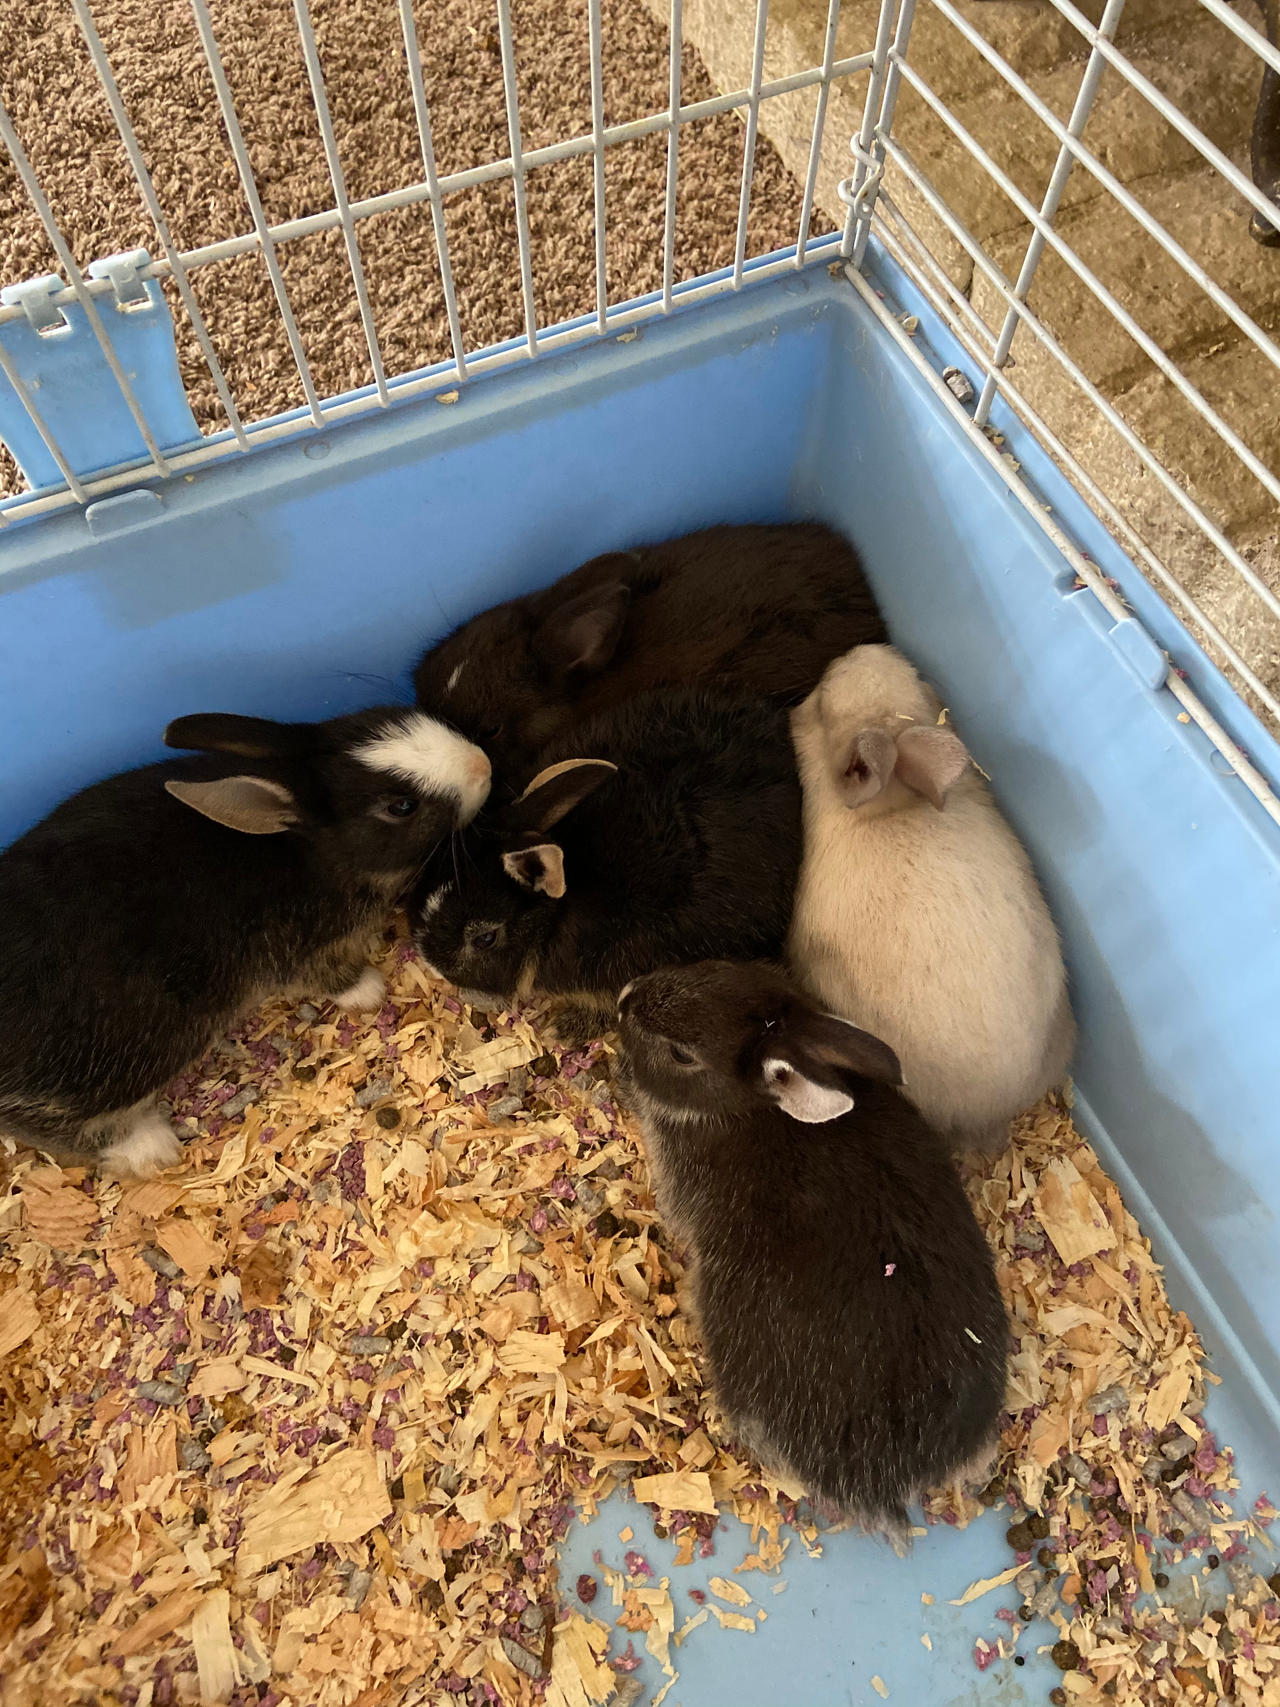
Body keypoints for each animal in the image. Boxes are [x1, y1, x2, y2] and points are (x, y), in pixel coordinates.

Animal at [0, 706, 490, 1177]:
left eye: (386, 714)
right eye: (402, 806)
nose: (482, 765)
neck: (307, 847)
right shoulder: (303, 950)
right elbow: (332, 977)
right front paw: (370, 990)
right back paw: (149, 1149)